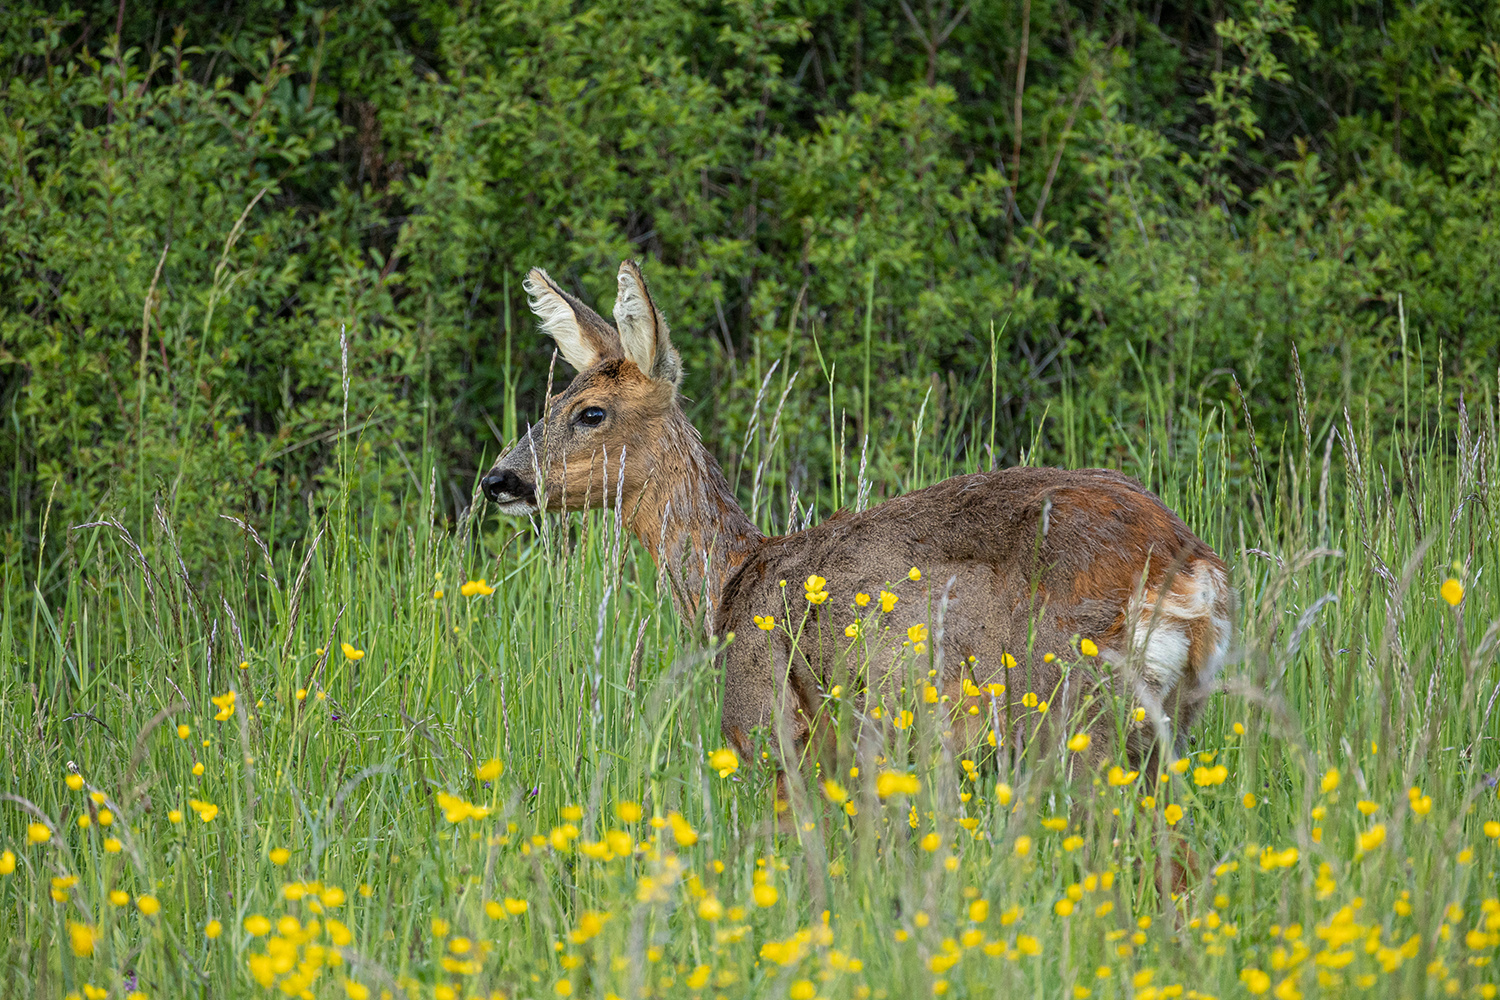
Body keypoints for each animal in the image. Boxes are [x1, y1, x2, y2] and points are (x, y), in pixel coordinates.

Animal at [486, 263, 1236, 791]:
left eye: (589, 412)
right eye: (552, 401)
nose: (499, 480)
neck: (731, 585)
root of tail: (1193, 568)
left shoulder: (772, 728)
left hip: (1069, 706)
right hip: (1163, 722)